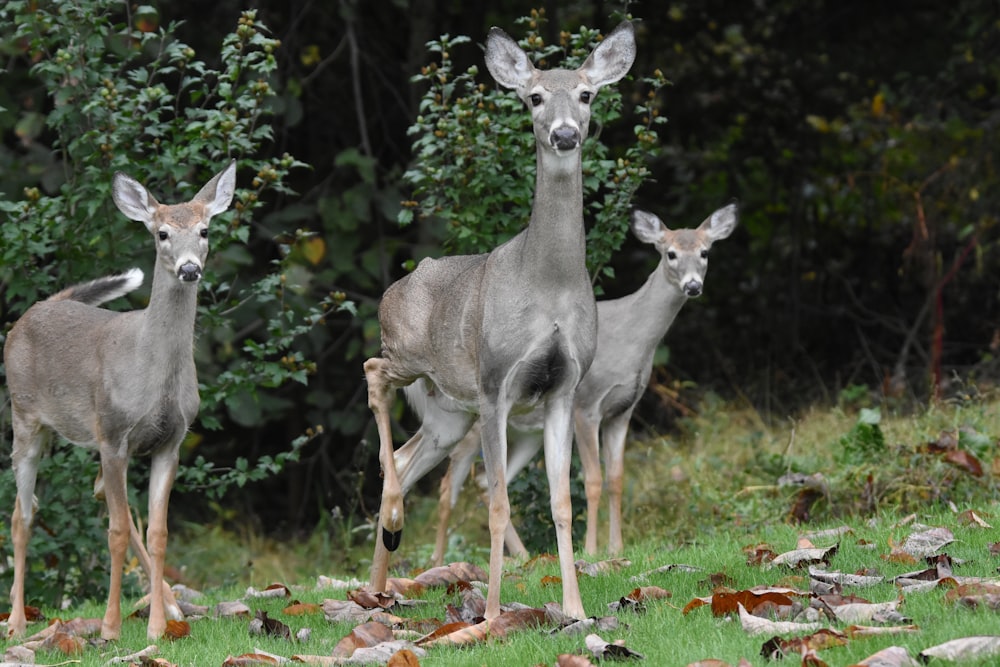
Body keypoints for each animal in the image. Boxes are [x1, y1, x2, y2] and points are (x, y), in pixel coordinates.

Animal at [4, 158, 237, 640]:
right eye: (161, 233)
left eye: (205, 230)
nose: (189, 269)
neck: (153, 373)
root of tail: (36, 308)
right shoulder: (113, 435)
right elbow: (113, 531)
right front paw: (110, 627)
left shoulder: (170, 441)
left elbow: (157, 532)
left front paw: (157, 627)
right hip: (25, 415)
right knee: (22, 515)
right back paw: (16, 621)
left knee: (95, 499)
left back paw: (171, 605)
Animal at [364, 19, 636, 620]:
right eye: (533, 97)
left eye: (587, 94)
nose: (564, 134)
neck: (549, 285)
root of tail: (398, 286)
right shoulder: (496, 386)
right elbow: (497, 502)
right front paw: (490, 612)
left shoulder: (563, 388)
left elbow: (562, 501)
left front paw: (575, 608)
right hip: (410, 357)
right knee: (373, 374)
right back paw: (391, 530)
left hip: (448, 412)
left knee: (408, 456)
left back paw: (378, 587)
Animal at [430, 202, 736, 564]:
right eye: (671, 253)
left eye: (705, 252)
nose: (692, 286)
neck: (633, 341)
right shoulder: (586, 405)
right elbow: (593, 479)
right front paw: (591, 549)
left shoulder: (623, 410)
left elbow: (616, 478)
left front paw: (617, 547)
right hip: (476, 418)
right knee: (449, 482)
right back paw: (437, 561)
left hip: (526, 433)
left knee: (481, 481)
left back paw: (522, 555)